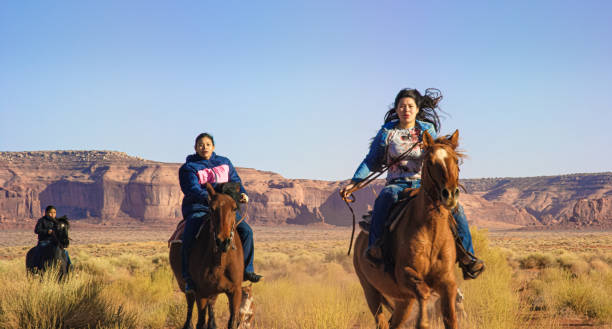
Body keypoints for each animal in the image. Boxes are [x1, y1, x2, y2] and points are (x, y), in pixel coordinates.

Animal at [170, 182, 244, 328]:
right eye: (212, 208)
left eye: (234, 208)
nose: (223, 241)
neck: (221, 261)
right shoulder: (201, 293)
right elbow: (200, 322)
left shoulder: (235, 291)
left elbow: (232, 321)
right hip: (187, 287)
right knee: (190, 307)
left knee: (211, 307)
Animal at [354, 129, 464, 326]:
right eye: (430, 162)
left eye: (456, 160)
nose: (450, 195)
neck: (432, 233)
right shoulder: (404, 275)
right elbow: (424, 293)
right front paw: (423, 322)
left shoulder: (447, 281)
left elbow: (451, 318)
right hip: (370, 291)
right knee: (381, 321)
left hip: (403, 300)